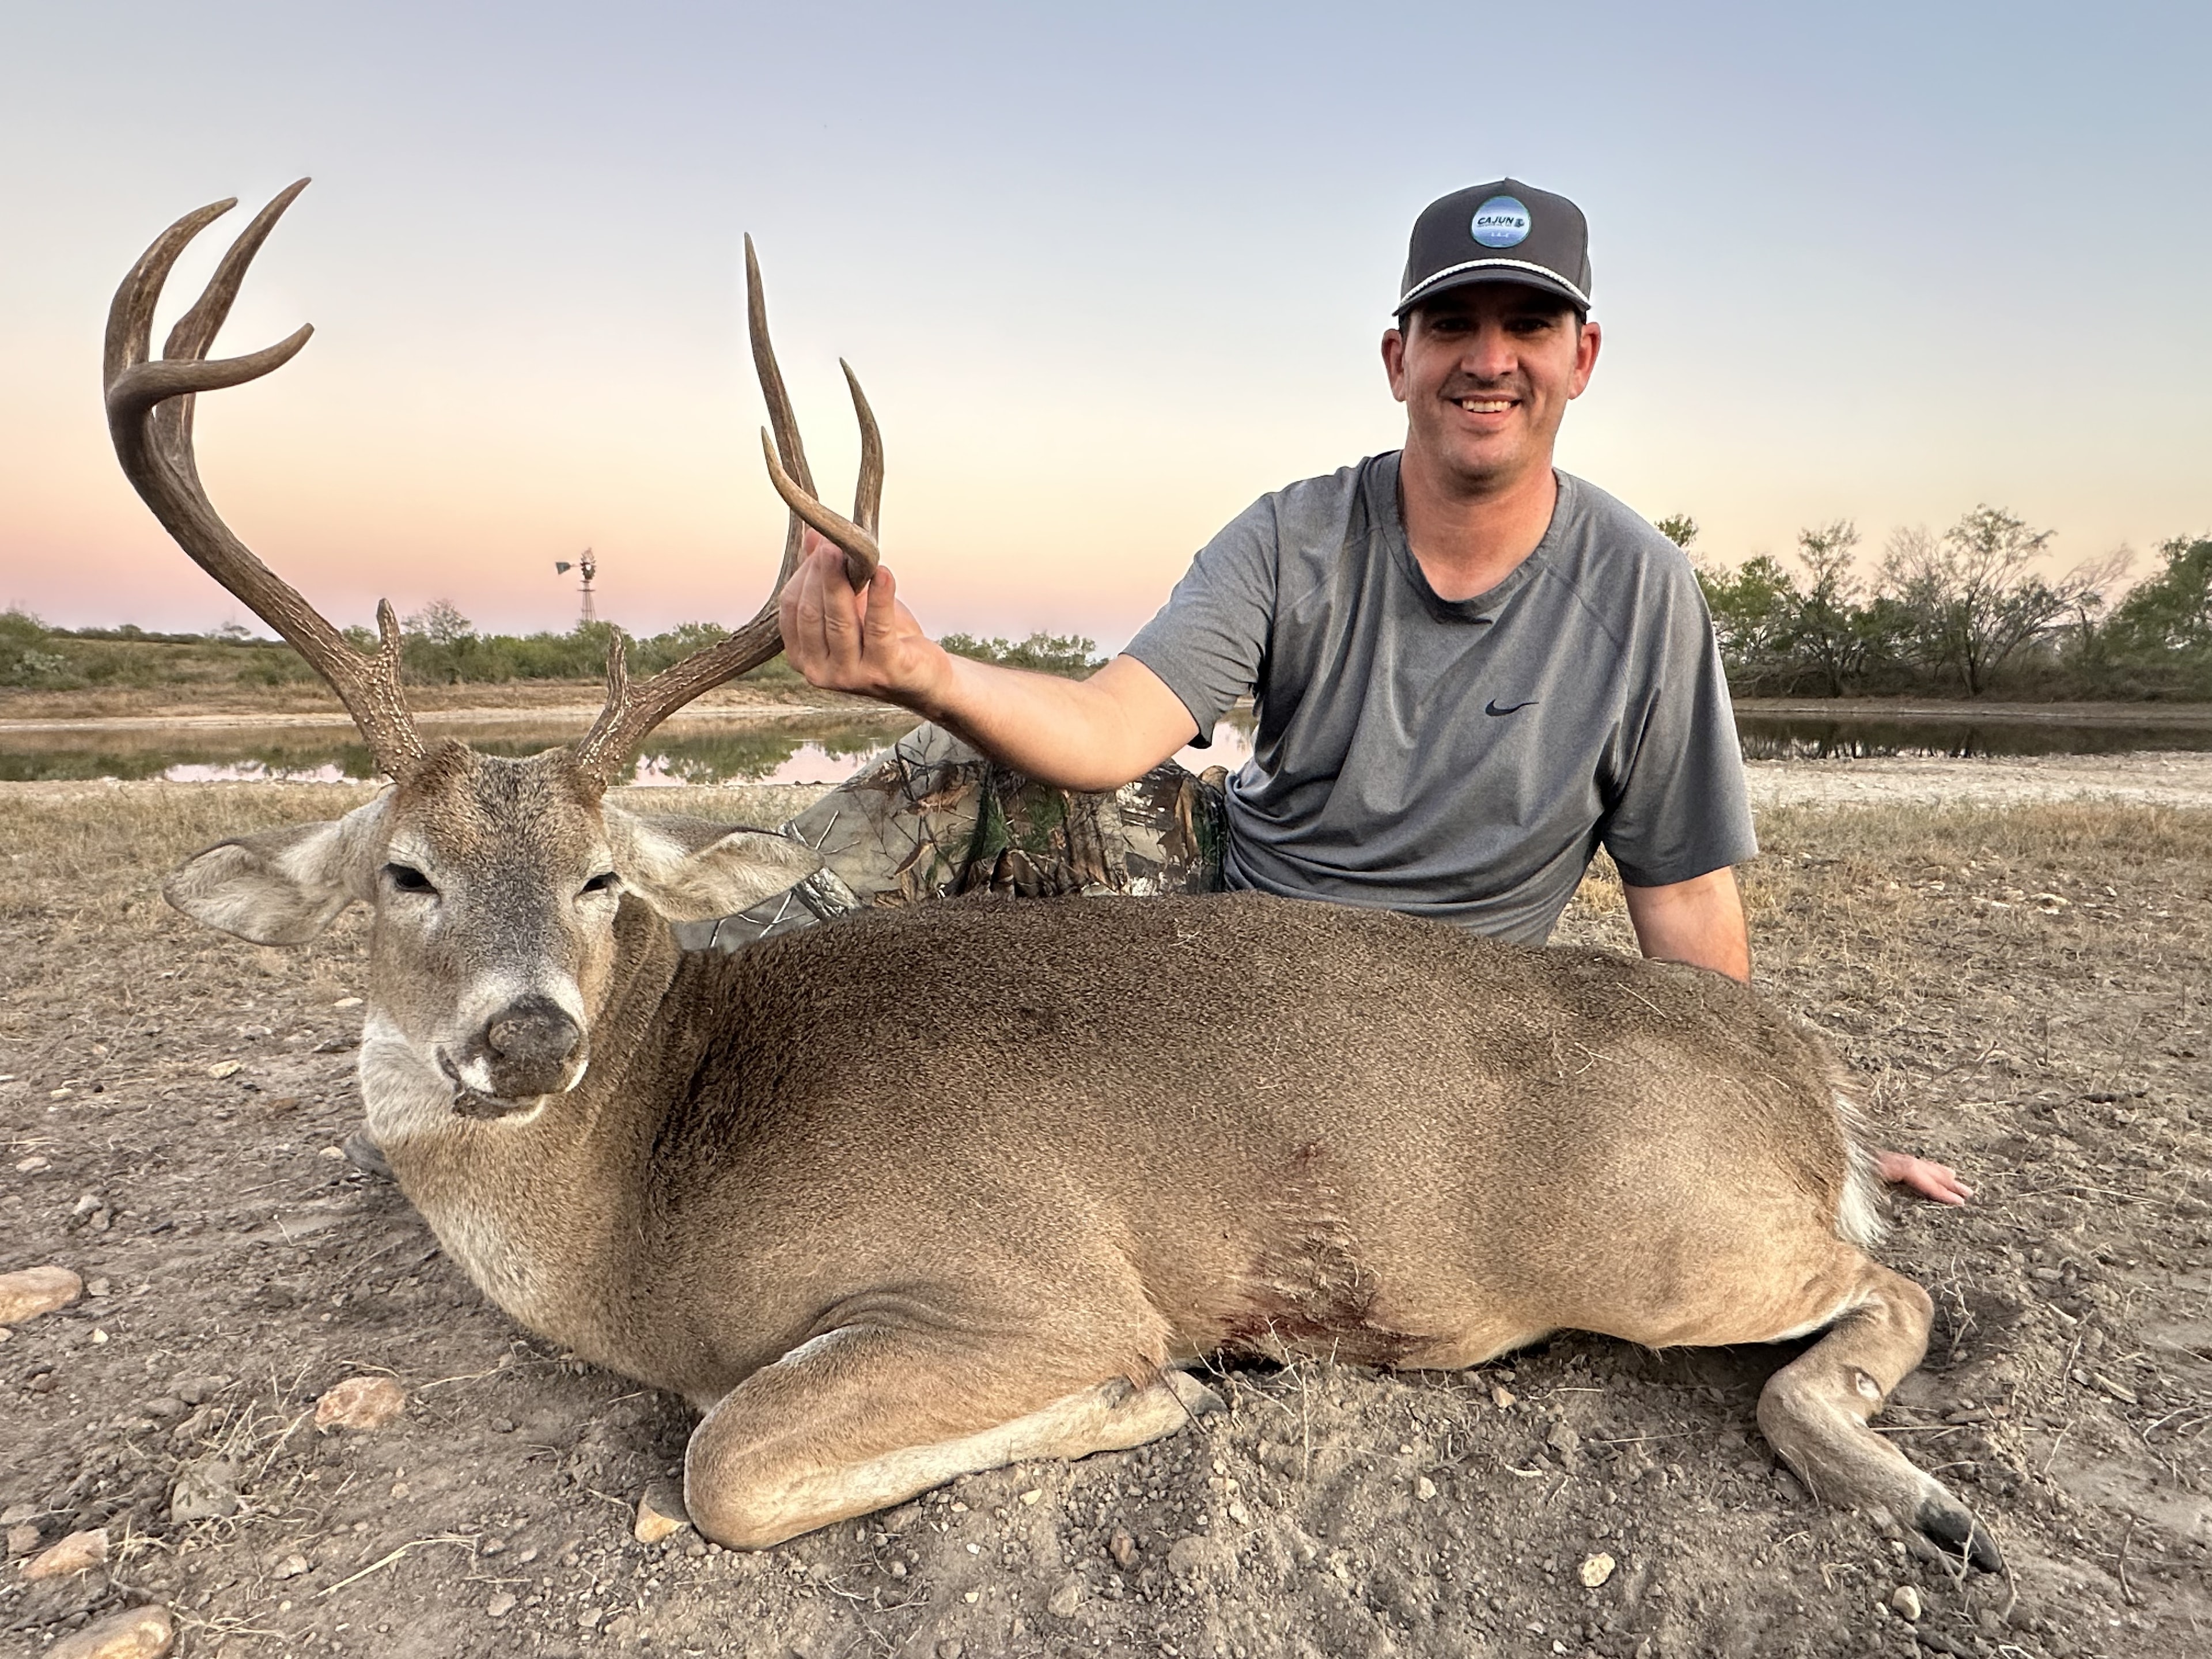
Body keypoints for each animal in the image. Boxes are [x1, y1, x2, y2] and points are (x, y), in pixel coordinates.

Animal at [107, 181, 2001, 1570]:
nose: (525, 1037)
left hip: (1667, 1244)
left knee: (1897, 1284)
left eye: (598, 883)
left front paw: (1152, 1398)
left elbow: (726, 1459)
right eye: (403, 875)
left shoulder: (1023, 1279)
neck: (642, 1184)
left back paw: (1916, 1499)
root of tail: (1807, 1079)